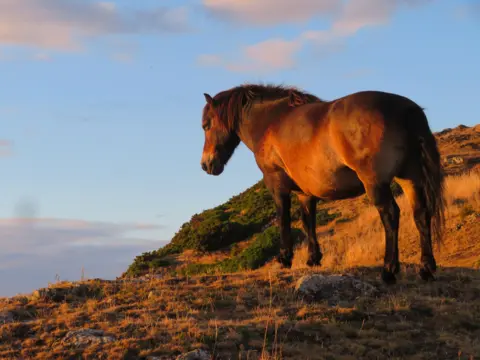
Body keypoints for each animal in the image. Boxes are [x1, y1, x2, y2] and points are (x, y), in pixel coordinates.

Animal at [199, 83, 446, 284]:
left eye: (206, 125)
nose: (206, 165)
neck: (272, 121)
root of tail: (406, 109)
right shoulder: (305, 192)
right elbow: (308, 221)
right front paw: (313, 259)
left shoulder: (276, 183)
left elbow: (283, 218)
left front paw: (285, 258)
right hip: (410, 178)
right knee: (421, 213)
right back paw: (426, 269)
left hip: (376, 183)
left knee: (391, 215)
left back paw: (388, 271)